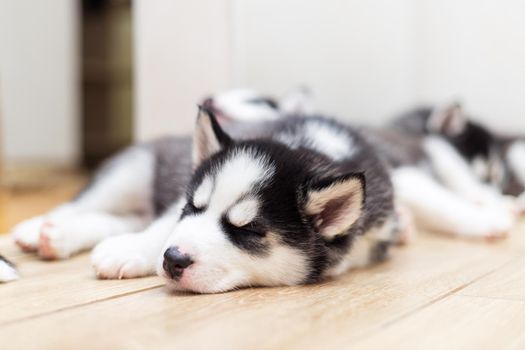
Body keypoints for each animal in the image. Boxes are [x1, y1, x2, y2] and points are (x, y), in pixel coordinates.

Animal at [12, 107, 400, 292]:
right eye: (193, 207)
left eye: (250, 230)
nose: (173, 260)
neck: (314, 147)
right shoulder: (176, 204)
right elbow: (163, 228)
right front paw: (132, 249)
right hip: (131, 171)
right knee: (81, 204)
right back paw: (41, 229)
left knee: (121, 219)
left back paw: (59, 236)